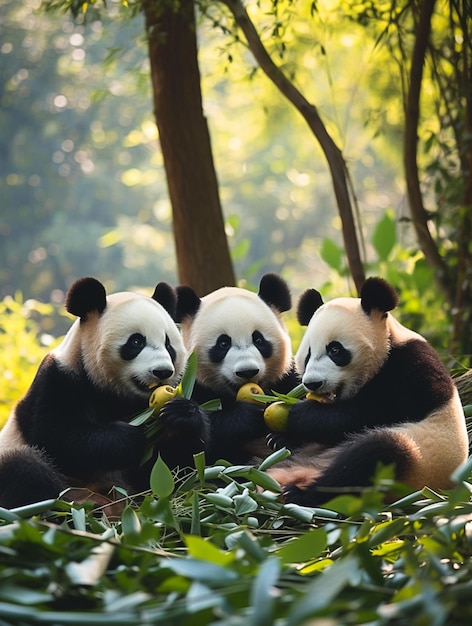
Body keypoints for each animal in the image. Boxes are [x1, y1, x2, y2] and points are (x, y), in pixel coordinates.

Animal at [0, 278, 208, 508]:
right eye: (136, 342)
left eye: (168, 344)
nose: (162, 372)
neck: (113, 394)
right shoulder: (59, 380)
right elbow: (57, 438)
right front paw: (130, 436)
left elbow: (181, 465)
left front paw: (182, 415)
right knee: (22, 469)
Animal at [175, 272, 296, 464]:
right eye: (223, 343)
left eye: (258, 340)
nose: (247, 372)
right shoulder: (190, 384)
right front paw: (248, 415)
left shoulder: (286, 379)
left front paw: (280, 438)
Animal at [268, 276, 470, 504]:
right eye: (308, 354)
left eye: (335, 350)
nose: (312, 383)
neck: (388, 346)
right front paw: (280, 438)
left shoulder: (413, 371)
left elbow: (369, 412)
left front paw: (301, 413)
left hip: (416, 463)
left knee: (371, 459)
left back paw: (301, 494)